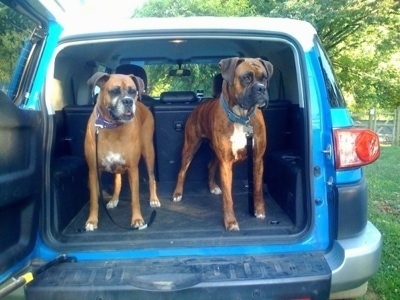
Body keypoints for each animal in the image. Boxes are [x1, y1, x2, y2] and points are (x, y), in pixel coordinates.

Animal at [84, 71, 159, 231]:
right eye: (114, 91)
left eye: (133, 91)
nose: (128, 101)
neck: (112, 126)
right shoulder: (93, 171)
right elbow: (93, 199)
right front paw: (92, 220)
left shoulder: (133, 169)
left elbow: (135, 198)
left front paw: (137, 219)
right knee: (118, 181)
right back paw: (114, 200)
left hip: (149, 153)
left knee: (152, 178)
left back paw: (154, 199)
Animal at [170, 57, 274, 231]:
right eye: (246, 78)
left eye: (264, 78)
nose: (261, 88)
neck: (241, 117)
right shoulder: (226, 163)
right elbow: (228, 197)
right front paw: (230, 222)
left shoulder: (257, 159)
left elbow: (258, 188)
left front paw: (259, 211)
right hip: (190, 148)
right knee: (182, 172)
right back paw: (177, 193)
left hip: (215, 153)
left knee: (210, 166)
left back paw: (213, 187)